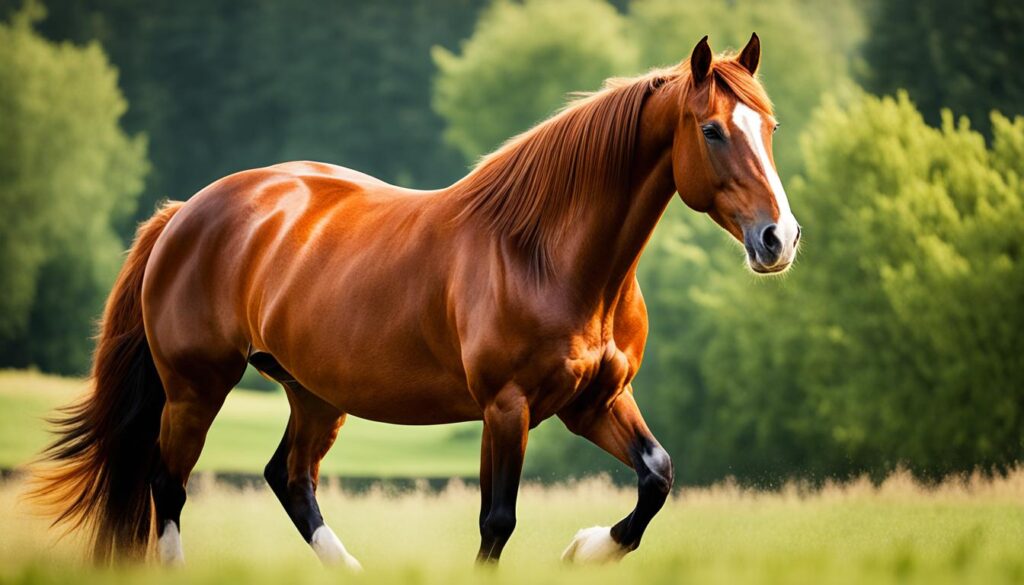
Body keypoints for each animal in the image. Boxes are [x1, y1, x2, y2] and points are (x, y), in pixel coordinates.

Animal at [32, 33, 799, 567]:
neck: (547, 254)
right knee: (168, 487)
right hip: (195, 388)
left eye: (769, 127)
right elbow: (497, 520)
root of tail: (185, 212)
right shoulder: (507, 407)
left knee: (290, 478)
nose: (779, 238)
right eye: (712, 129)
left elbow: (656, 476)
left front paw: (587, 547)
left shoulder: (593, 402)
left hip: (315, 393)